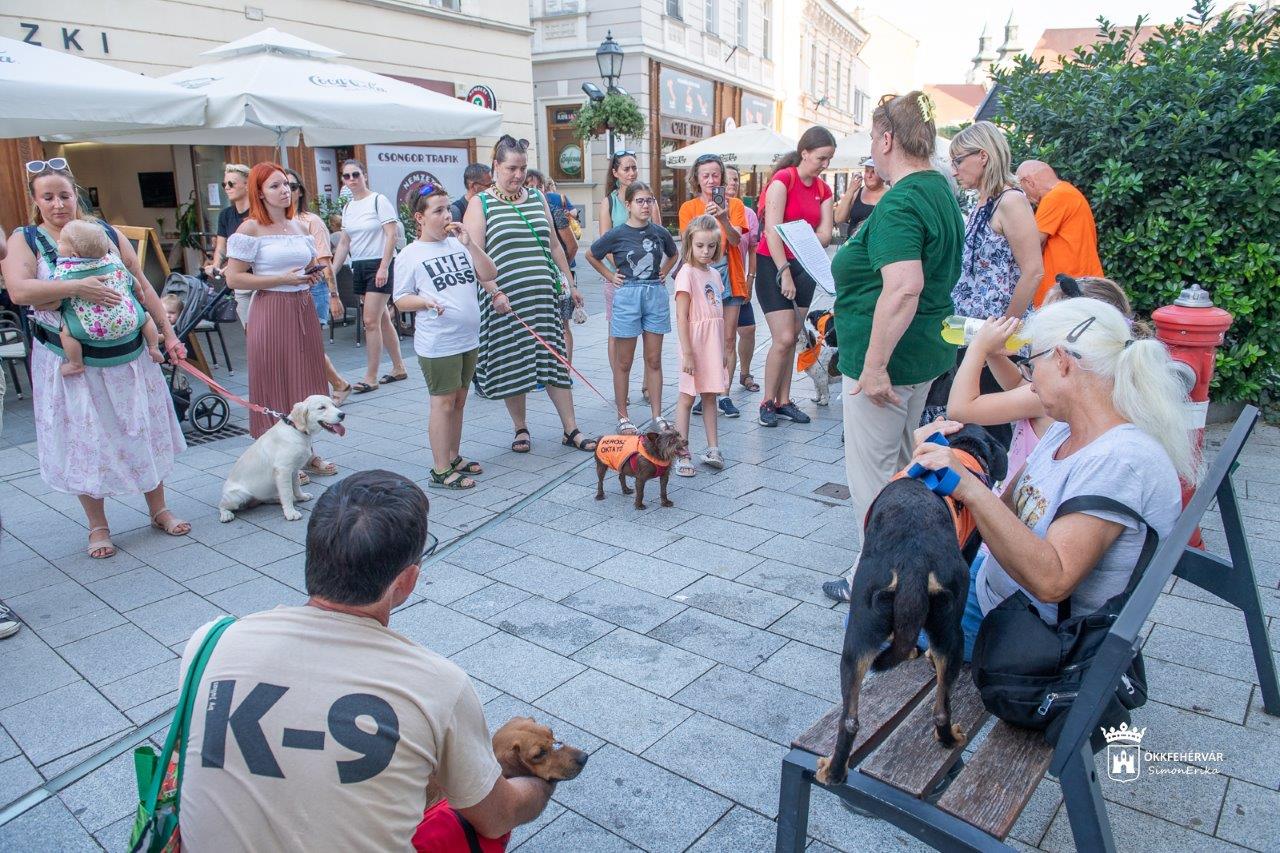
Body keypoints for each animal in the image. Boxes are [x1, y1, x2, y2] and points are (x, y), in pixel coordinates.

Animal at [217, 391, 345, 517]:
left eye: (334, 405)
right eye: (321, 407)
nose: (342, 414)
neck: (296, 430)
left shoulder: (294, 470)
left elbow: (296, 486)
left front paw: (301, 497)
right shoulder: (283, 471)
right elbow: (287, 493)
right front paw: (290, 513)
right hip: (237, 496)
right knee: (221, 505)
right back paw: (226, 515)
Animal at [819, 425, 1008, 783]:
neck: (964, 451)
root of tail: (914, 560)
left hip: (859, 634)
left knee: (850, 719)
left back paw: (834, 772)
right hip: (950, 632)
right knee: (939, 707)